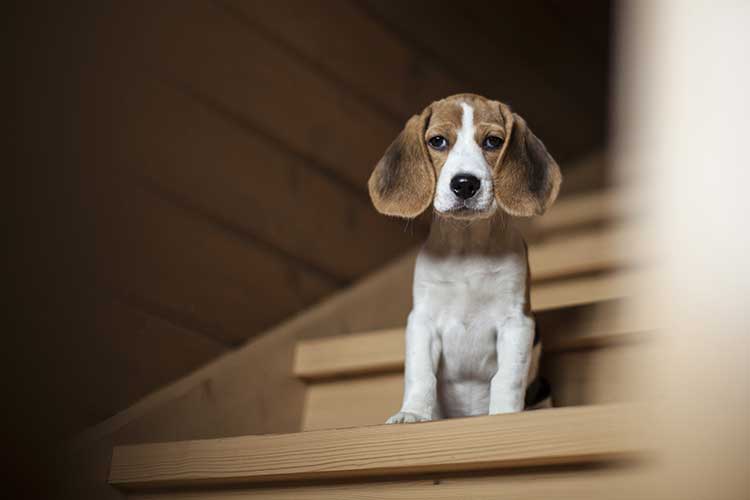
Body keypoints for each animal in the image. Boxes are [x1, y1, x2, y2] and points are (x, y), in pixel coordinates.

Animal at [370, 94, 564, 422]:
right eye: (437, 141)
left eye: (493, 141)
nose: (465, 184)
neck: (467, 246)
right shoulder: (422, 321)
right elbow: (421, 374)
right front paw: (413, 413)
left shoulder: (517, 322)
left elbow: (507, 378)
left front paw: (504, 414)